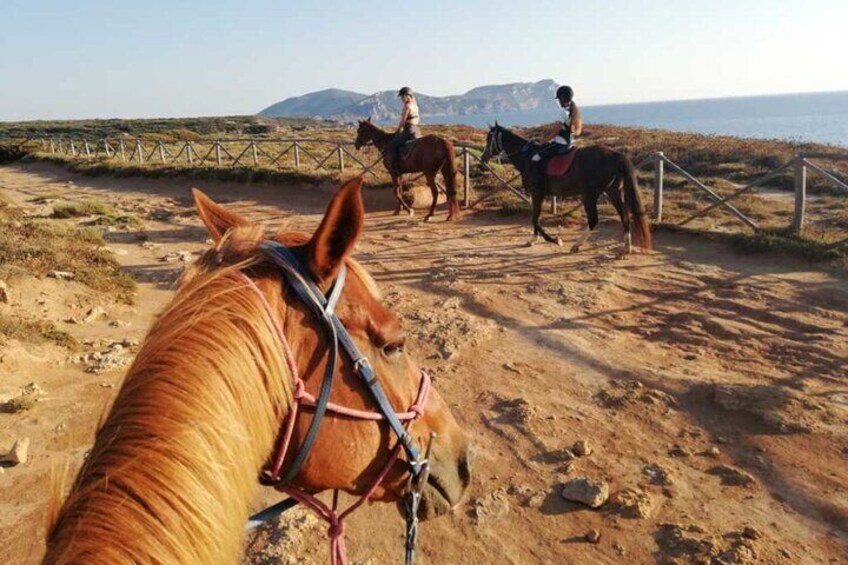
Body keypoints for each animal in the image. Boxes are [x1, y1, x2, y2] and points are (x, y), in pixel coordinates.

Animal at [480, 125, 652, 256]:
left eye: (489, 138)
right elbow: (534, 218)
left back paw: (576, 245)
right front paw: (533, 239)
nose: (483, 158)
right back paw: (626, 248)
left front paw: (555, 240)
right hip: (612, 192)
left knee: (594, 219)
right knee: (624, 215)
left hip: (589, 196)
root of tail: (615, 154)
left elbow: (535, 219)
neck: (528, 157)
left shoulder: (537, 194)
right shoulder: (538, 195)